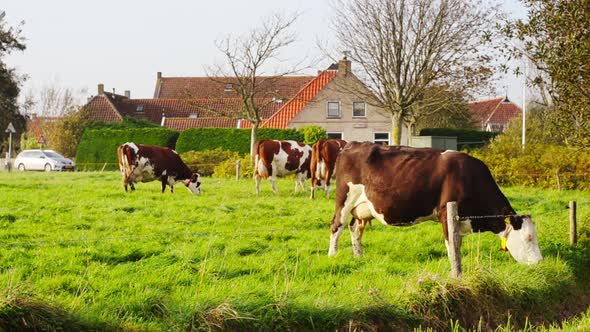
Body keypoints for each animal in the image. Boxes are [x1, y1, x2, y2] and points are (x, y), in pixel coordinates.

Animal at [330, 143, 544, 264]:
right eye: (528, 238)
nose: (540, 262)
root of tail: (352, 144)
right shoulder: (446, 213)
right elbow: (452, 244)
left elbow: (457, 242)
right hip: (344, 199)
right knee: (336, 225)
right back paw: (333, 256)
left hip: (363, 208)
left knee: (355, 228)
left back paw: (359, 256)